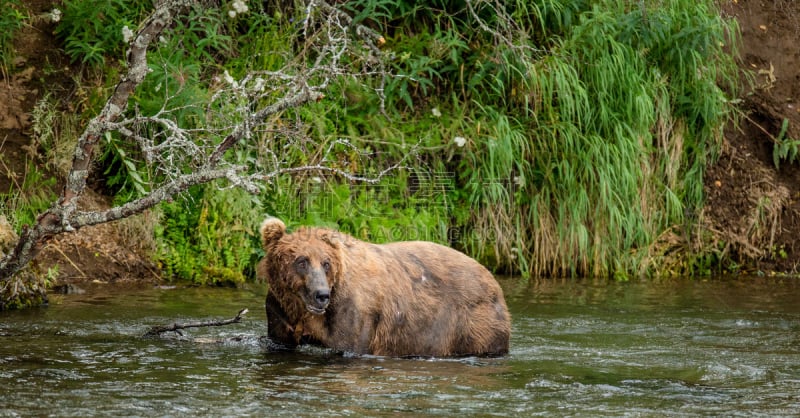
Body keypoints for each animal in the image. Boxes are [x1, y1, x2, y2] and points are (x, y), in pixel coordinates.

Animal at [260, 217, 510, 358]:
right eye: (301, 261)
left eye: (326, 263)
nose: (321, 295)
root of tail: (492, 279)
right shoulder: (279, 311)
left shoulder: (353, 313)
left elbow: (346, 342)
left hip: (472, 324)